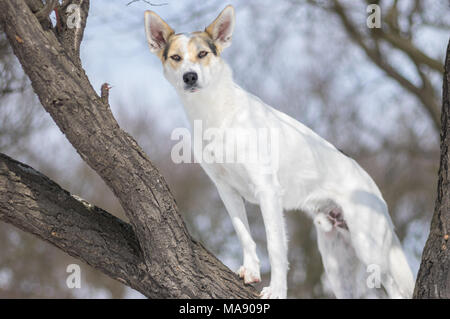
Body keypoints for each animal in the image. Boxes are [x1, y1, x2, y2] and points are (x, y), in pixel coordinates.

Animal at [145, 5, 414, 300]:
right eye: (176, 57)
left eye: (202, 54)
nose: (189, 76)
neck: (215, 113)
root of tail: (374, 189)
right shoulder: (225, 189)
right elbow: (243, 233)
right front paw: (251, 270)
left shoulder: (267, 191)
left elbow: (275, 247)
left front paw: (276, 290)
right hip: (335, 263)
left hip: (368, 247)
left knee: (396, 289)